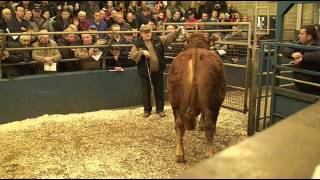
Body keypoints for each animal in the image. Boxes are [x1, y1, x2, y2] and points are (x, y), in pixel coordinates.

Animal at [168, 32, 225, 163]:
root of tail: (196, 52)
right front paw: (200, 125)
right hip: (213, 101)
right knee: (210, 126)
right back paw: (210, 153)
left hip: (176, 100)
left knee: (179, 125)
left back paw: (179, 154)